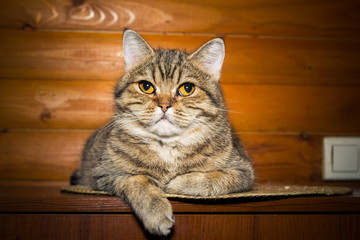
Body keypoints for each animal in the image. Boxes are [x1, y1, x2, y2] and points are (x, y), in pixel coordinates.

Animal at [71, 29, 255, 235]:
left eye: (187, 88)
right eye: (146, 86)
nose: (164, 105)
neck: (167, 146)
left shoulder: (243, 172)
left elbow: (213, 177)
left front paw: (177, 183)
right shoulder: (105, 173)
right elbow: (138, 180)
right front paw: (156, 212)